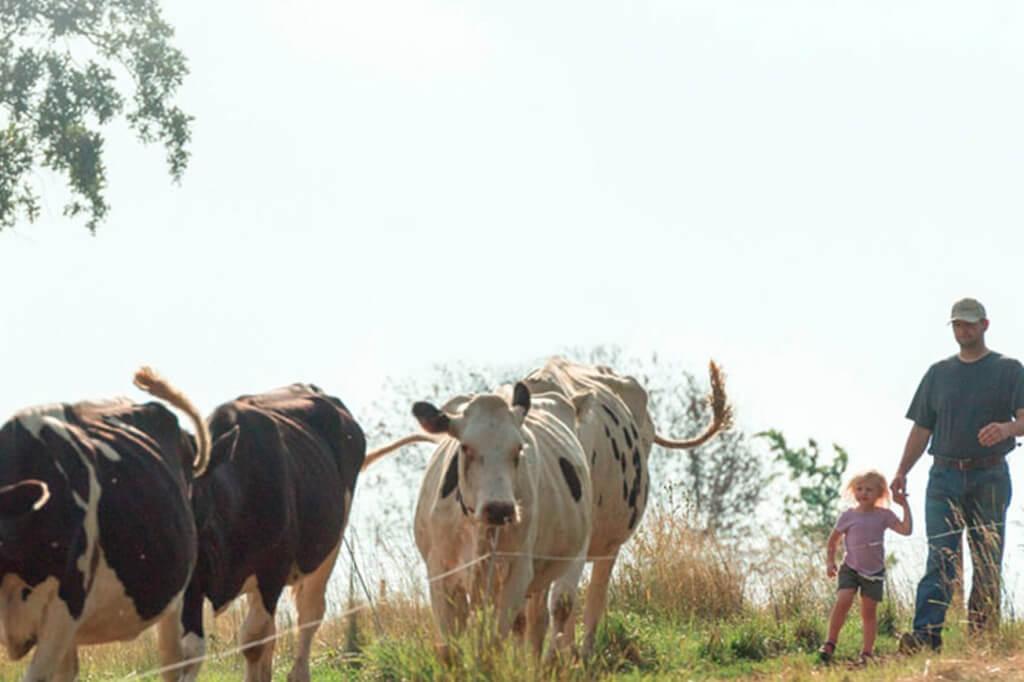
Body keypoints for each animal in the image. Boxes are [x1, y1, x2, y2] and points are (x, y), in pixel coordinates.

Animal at [167, 383, 366, 682]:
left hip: (329, 548)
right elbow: (190, 652)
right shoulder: (192, 584)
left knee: (309, 614)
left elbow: (253, 640)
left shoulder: (272, 569)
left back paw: (299, 672)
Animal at [404, 382, 593, 659]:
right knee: (529, 622)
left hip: (573, 555)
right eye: (465, 447)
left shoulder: (516, 573)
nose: (499, 508)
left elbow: (491, 643)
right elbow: (451, 650)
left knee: (556, 609)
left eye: (519, 448)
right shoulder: (441, 574)